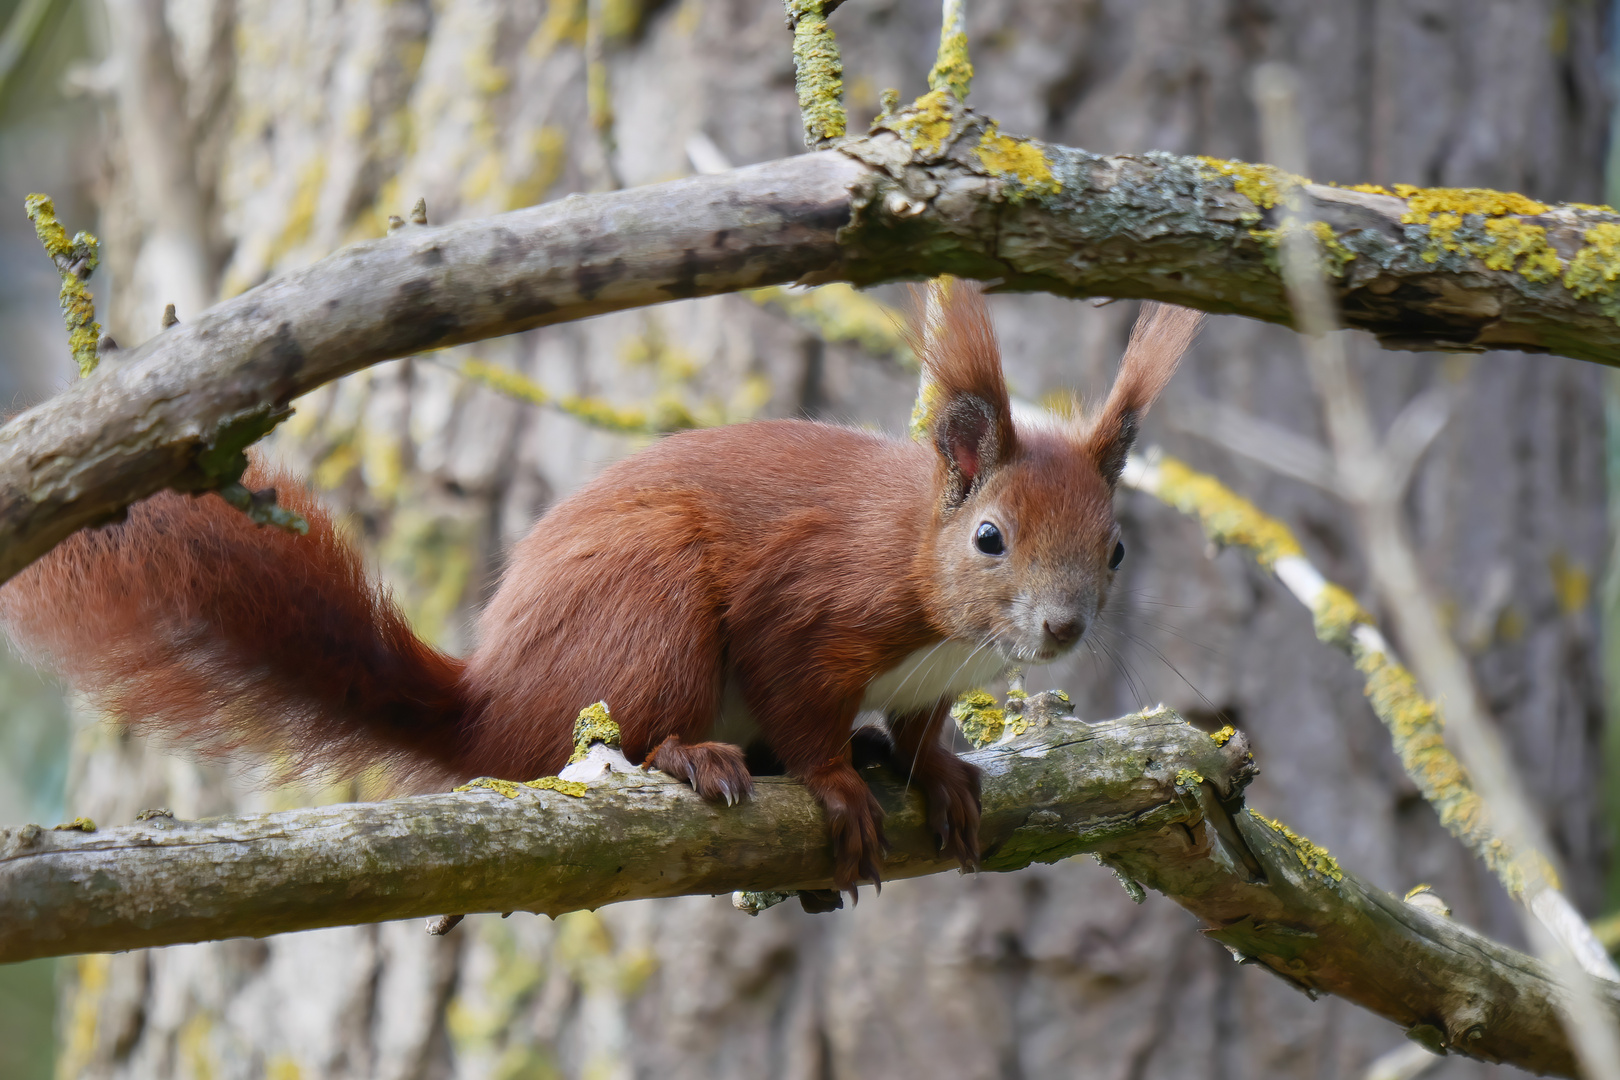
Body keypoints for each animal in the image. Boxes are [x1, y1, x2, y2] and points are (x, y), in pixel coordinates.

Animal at [0, 278, 1192, 893]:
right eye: (990, 537)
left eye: (1117, 550)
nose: (1062, 628)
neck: (916, 565)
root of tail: (493, 710)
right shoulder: (811, 602)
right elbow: (795, 685)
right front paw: (840, 784)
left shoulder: (928, 678)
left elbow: (922, 727)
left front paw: (935, 773)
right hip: (647, 610)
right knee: (629, 732)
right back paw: (695, 757)